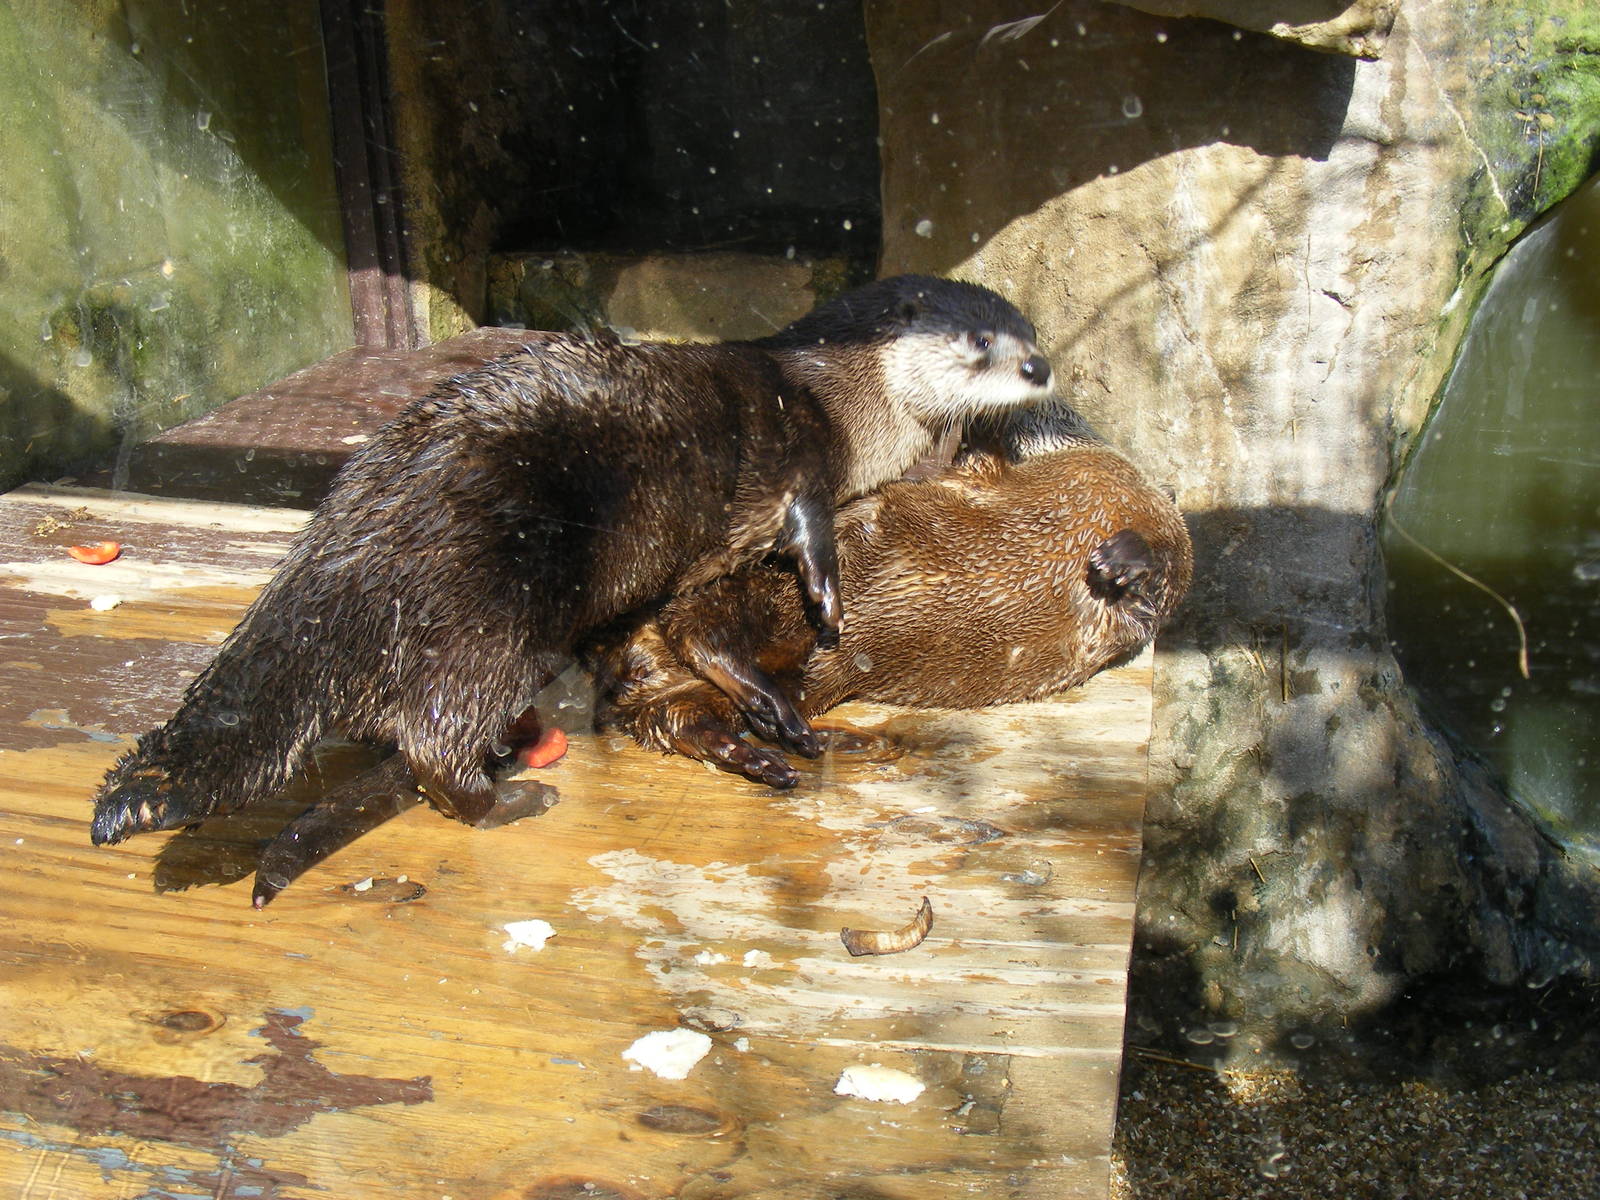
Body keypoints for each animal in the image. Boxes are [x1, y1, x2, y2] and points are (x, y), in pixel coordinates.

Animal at [90, 275, 1052, 848]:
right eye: (980, 342)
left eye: (1030, 330)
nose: (1041, 368)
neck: (848, 403)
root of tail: (348, 541)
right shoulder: (802, 451)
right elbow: (808, 524)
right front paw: (825, 598)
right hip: (490, 612)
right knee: (434, 733)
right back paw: (504, 798)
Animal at [589, 402, 1193, 786]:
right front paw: (1121, 561)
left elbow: (1172, 570)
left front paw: (1122, 562)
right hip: (780, 588)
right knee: (698, 627)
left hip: (770, 669)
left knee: (678, 710)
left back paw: (773, 743)